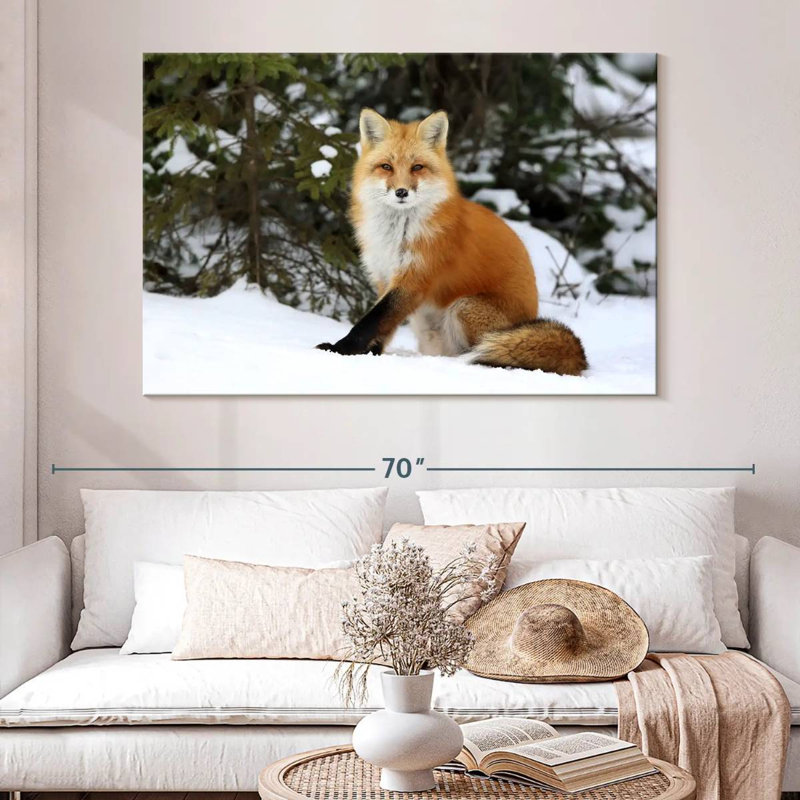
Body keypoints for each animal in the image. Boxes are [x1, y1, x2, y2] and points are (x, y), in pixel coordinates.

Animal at [315, 108, 587, 376]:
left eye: (417, 167)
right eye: (386, 166)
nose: (401, 192)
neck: (397, 233)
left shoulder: (416, 278)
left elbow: (371, 321)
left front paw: (340, 349)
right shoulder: (385, 276)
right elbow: (384, 324)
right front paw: (370, 354)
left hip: (464, 307)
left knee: (485, 352)